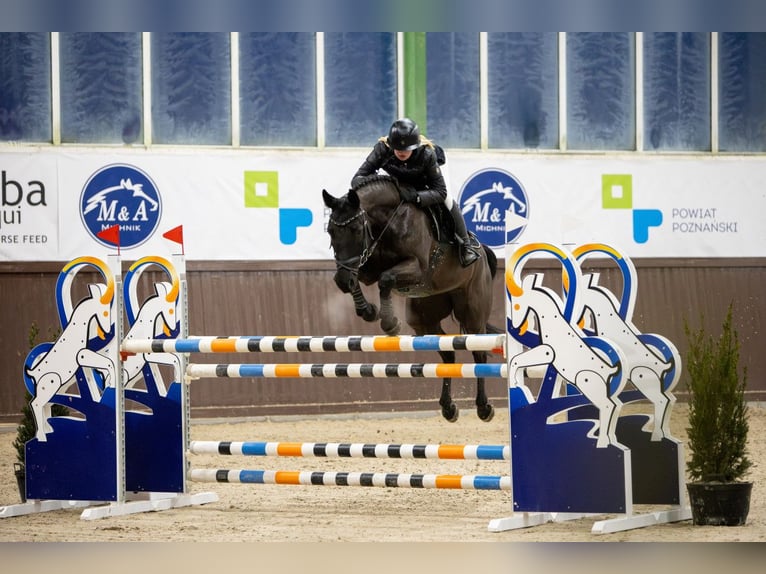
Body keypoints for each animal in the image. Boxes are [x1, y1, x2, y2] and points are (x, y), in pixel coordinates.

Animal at [322, 174, 499, 423]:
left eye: (356, 229)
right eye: (330, 230)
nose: (341, 278)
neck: (388, 221)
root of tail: (481, 250)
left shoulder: (417, 269)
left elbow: (386, 279)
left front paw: (389, 323)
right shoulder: (367, 266)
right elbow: (361, 280)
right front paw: (368, 311)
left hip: (472, 313)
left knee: (479, 353)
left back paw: (483, 407)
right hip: (424, 318)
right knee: (448, 353)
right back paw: (448, 407)